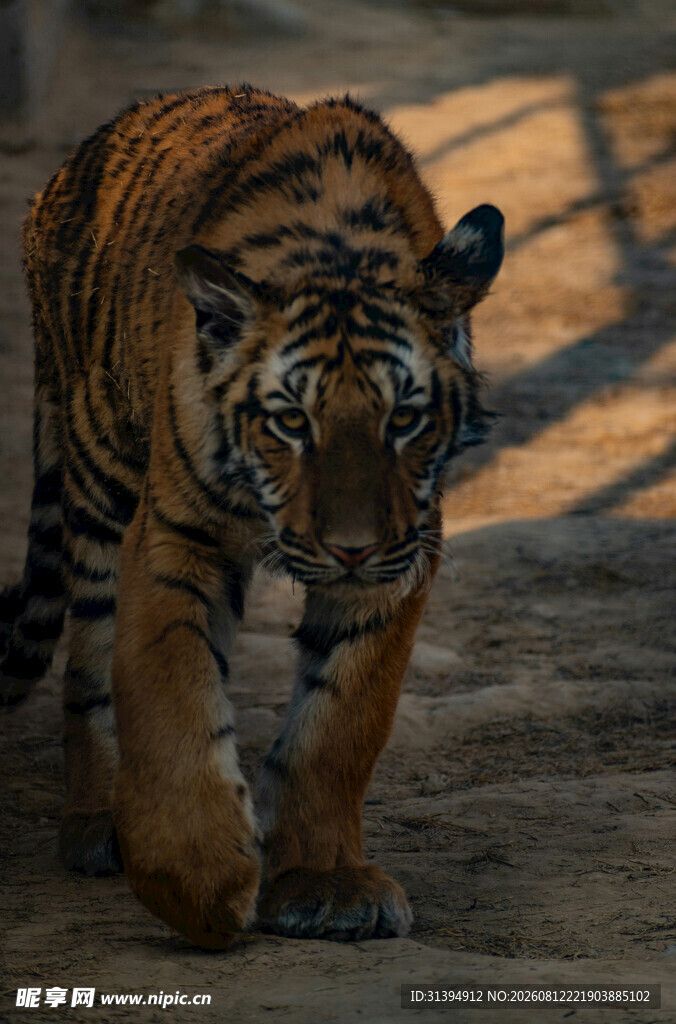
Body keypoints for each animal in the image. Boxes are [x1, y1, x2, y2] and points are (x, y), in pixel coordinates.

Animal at [0, 85, 503, 948]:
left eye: (404, 419)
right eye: (291, 422)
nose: (349, 549)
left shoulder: (402, 557)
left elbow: (340, 724)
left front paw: (326, 885)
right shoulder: (177, 532)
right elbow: (168, 690)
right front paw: (194, 882)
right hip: (99, 482)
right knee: (88, 663)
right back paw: (98, 823)